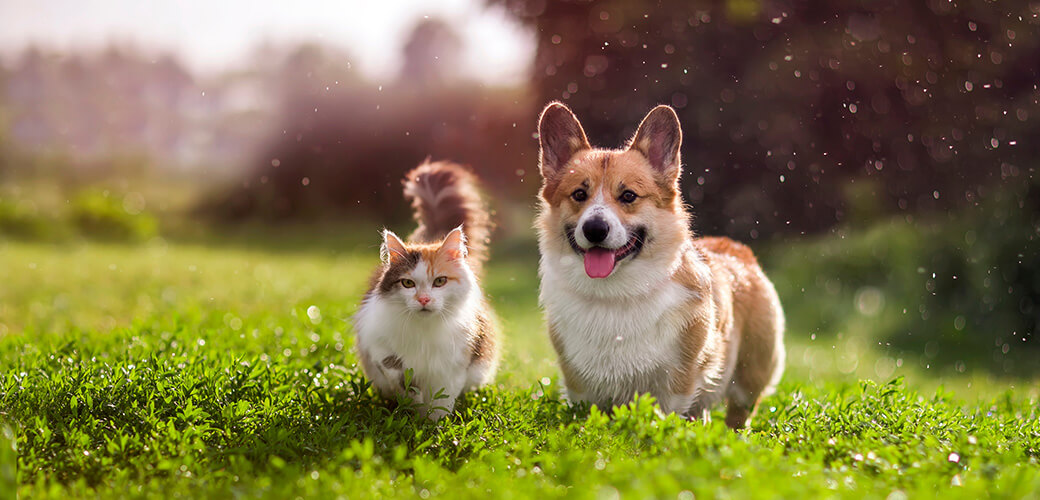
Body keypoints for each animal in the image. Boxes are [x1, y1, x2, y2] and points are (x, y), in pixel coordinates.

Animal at [353, 160, 499, 417]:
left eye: (439, 282)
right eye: (408, 283)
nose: (423, 299)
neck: (424, 331)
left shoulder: (454, 365)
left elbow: (442, 401)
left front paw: (432, 423)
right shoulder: (376, 343)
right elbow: (397, 372)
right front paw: (413, 404)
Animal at [532, 102, 782, 428]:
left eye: (628, 196)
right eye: (579, 194)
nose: (595, 229)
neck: (615, 295)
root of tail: (736, 248)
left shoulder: (678, 381)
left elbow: (668, 413)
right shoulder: (579, 384)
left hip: (750, 375)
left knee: (738, 413)